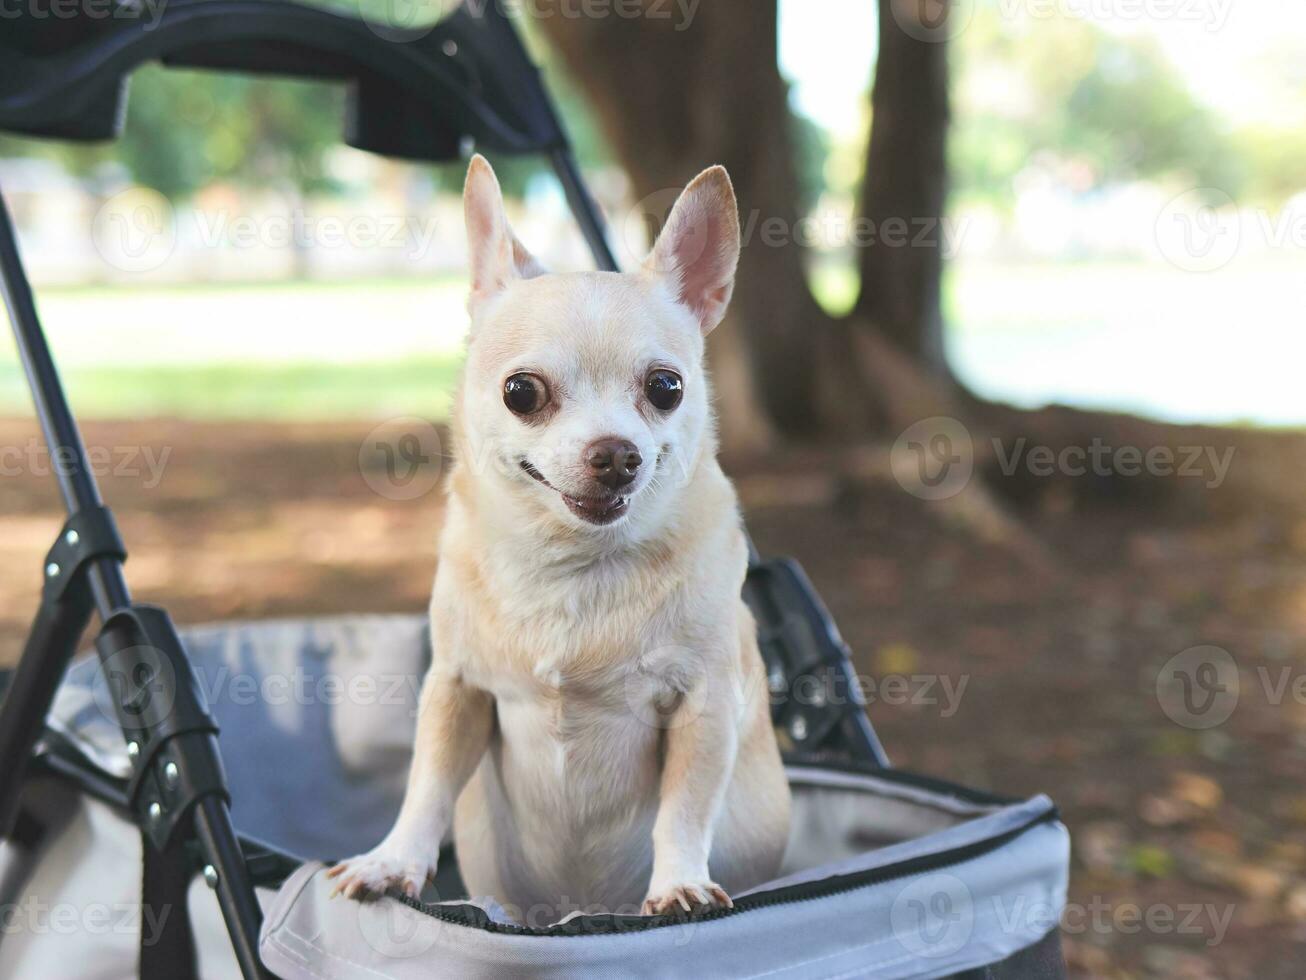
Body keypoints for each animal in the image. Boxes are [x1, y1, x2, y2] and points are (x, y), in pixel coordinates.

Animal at [331, 155, 788, 919]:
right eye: (522, 392)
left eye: (666, 387)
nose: (617, 454)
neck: (572, 567)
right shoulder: (455, 691)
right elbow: (427, 783)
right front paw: (394, 860)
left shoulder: (705, 706)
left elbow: (684, 808)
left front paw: (678, 884)